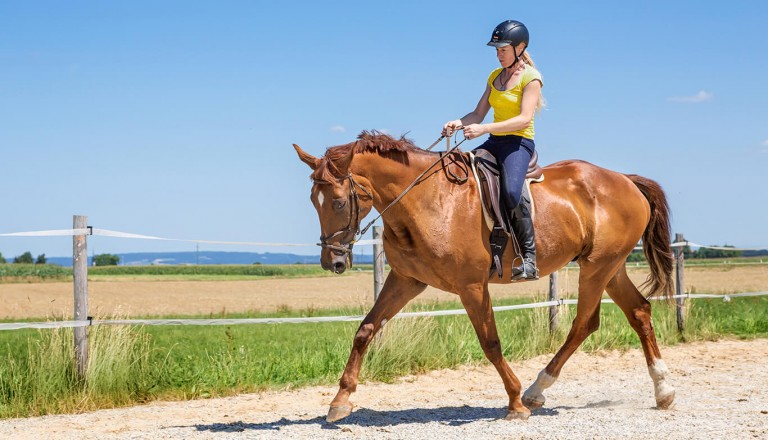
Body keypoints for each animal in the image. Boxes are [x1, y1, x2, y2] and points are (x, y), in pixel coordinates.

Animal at [292, 131, 676, 422]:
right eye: (313, 200)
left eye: (339, 202)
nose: (332, 261)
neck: (426, 200)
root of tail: (626, 180)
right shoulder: (405, 280)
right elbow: (366, 329)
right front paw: (340, 401)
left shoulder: (472, 285)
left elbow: (490, 342)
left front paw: (516, 403)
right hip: (611, 267)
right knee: (638, 311)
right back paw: (664, 390)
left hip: (597, 267)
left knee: (585, 322)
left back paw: (535, 390)